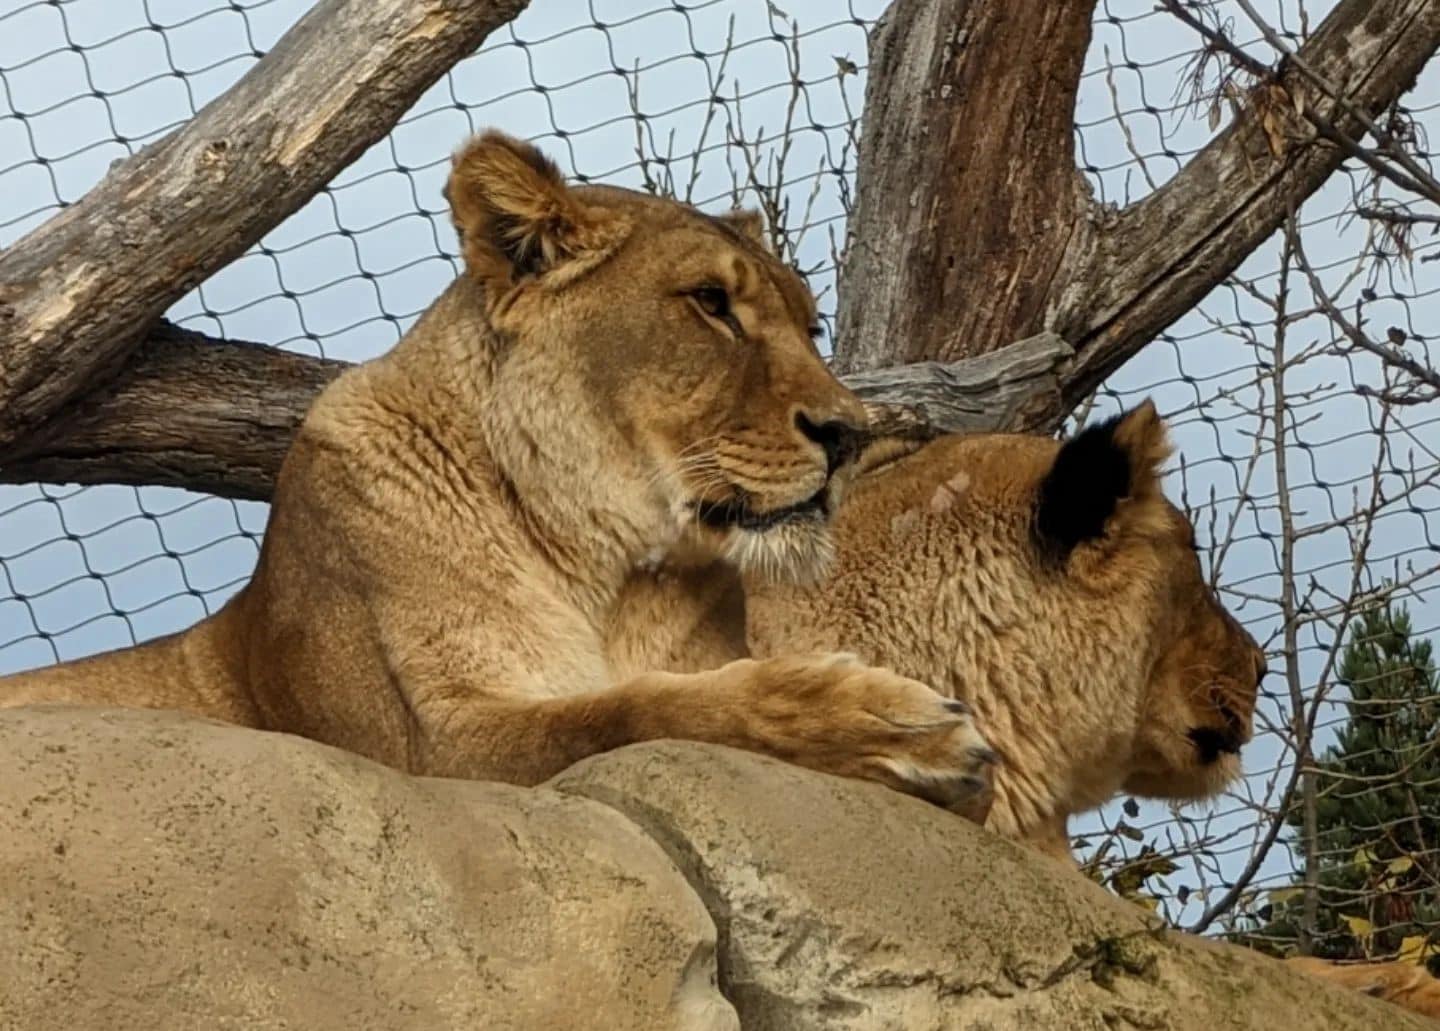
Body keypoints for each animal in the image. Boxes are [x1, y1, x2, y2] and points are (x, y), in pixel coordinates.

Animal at [0, 128, 990, 806]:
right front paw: (890, 721)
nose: (849, 431)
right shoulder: (428, 751)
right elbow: (636, 710)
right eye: (711, 303)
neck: (606, 569)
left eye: (811, 325)